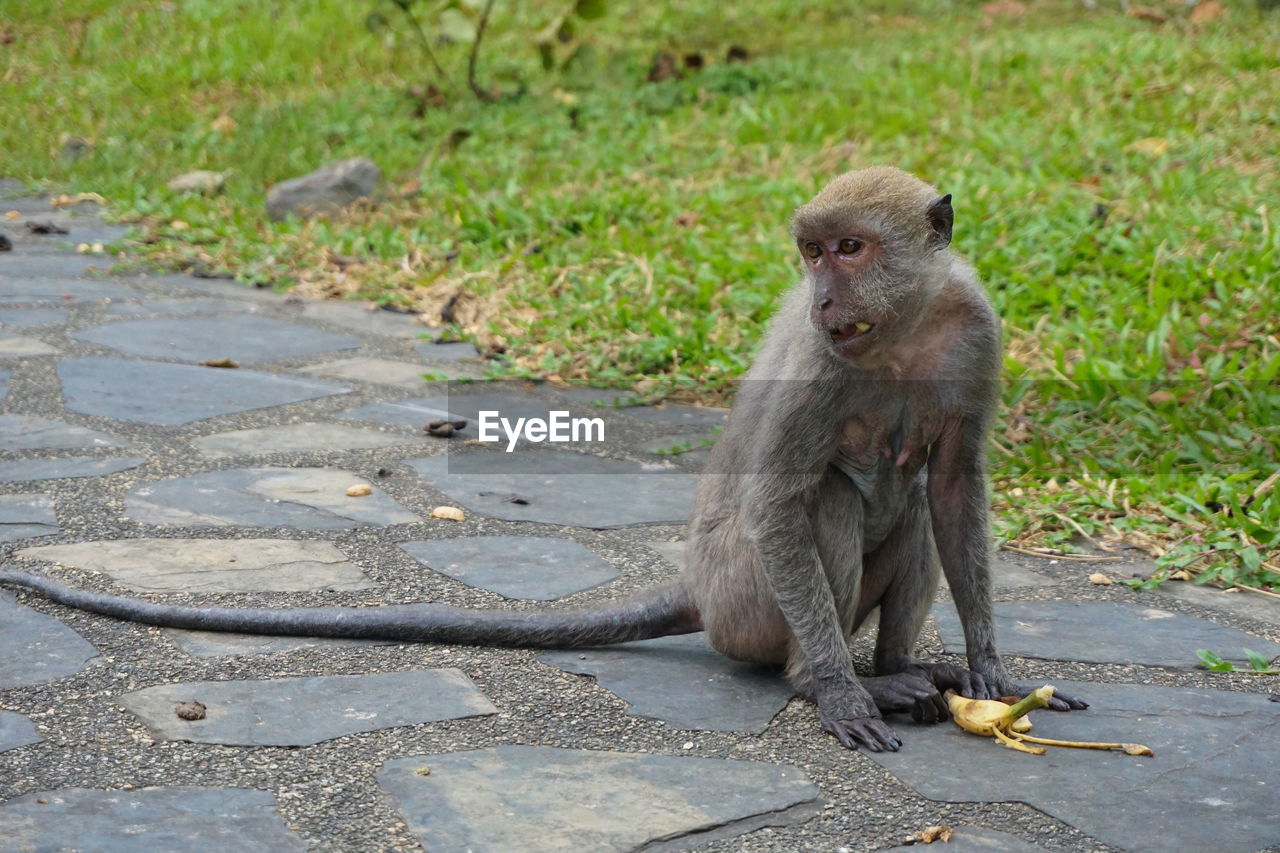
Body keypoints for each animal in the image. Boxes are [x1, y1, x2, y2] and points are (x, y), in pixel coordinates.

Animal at [0, 167, 1085, 753]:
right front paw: (833, 687)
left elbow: (956, 485)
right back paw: (834, 677)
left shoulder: (972, 330)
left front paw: (990, 669)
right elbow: (782, 496)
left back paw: (903, 671)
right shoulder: (817, 365)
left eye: (851, 249)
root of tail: (701, 589)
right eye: (815, 253)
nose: (823, 296)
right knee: (824, 501)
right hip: (747, 605)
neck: (895, 333)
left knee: (912, 499)